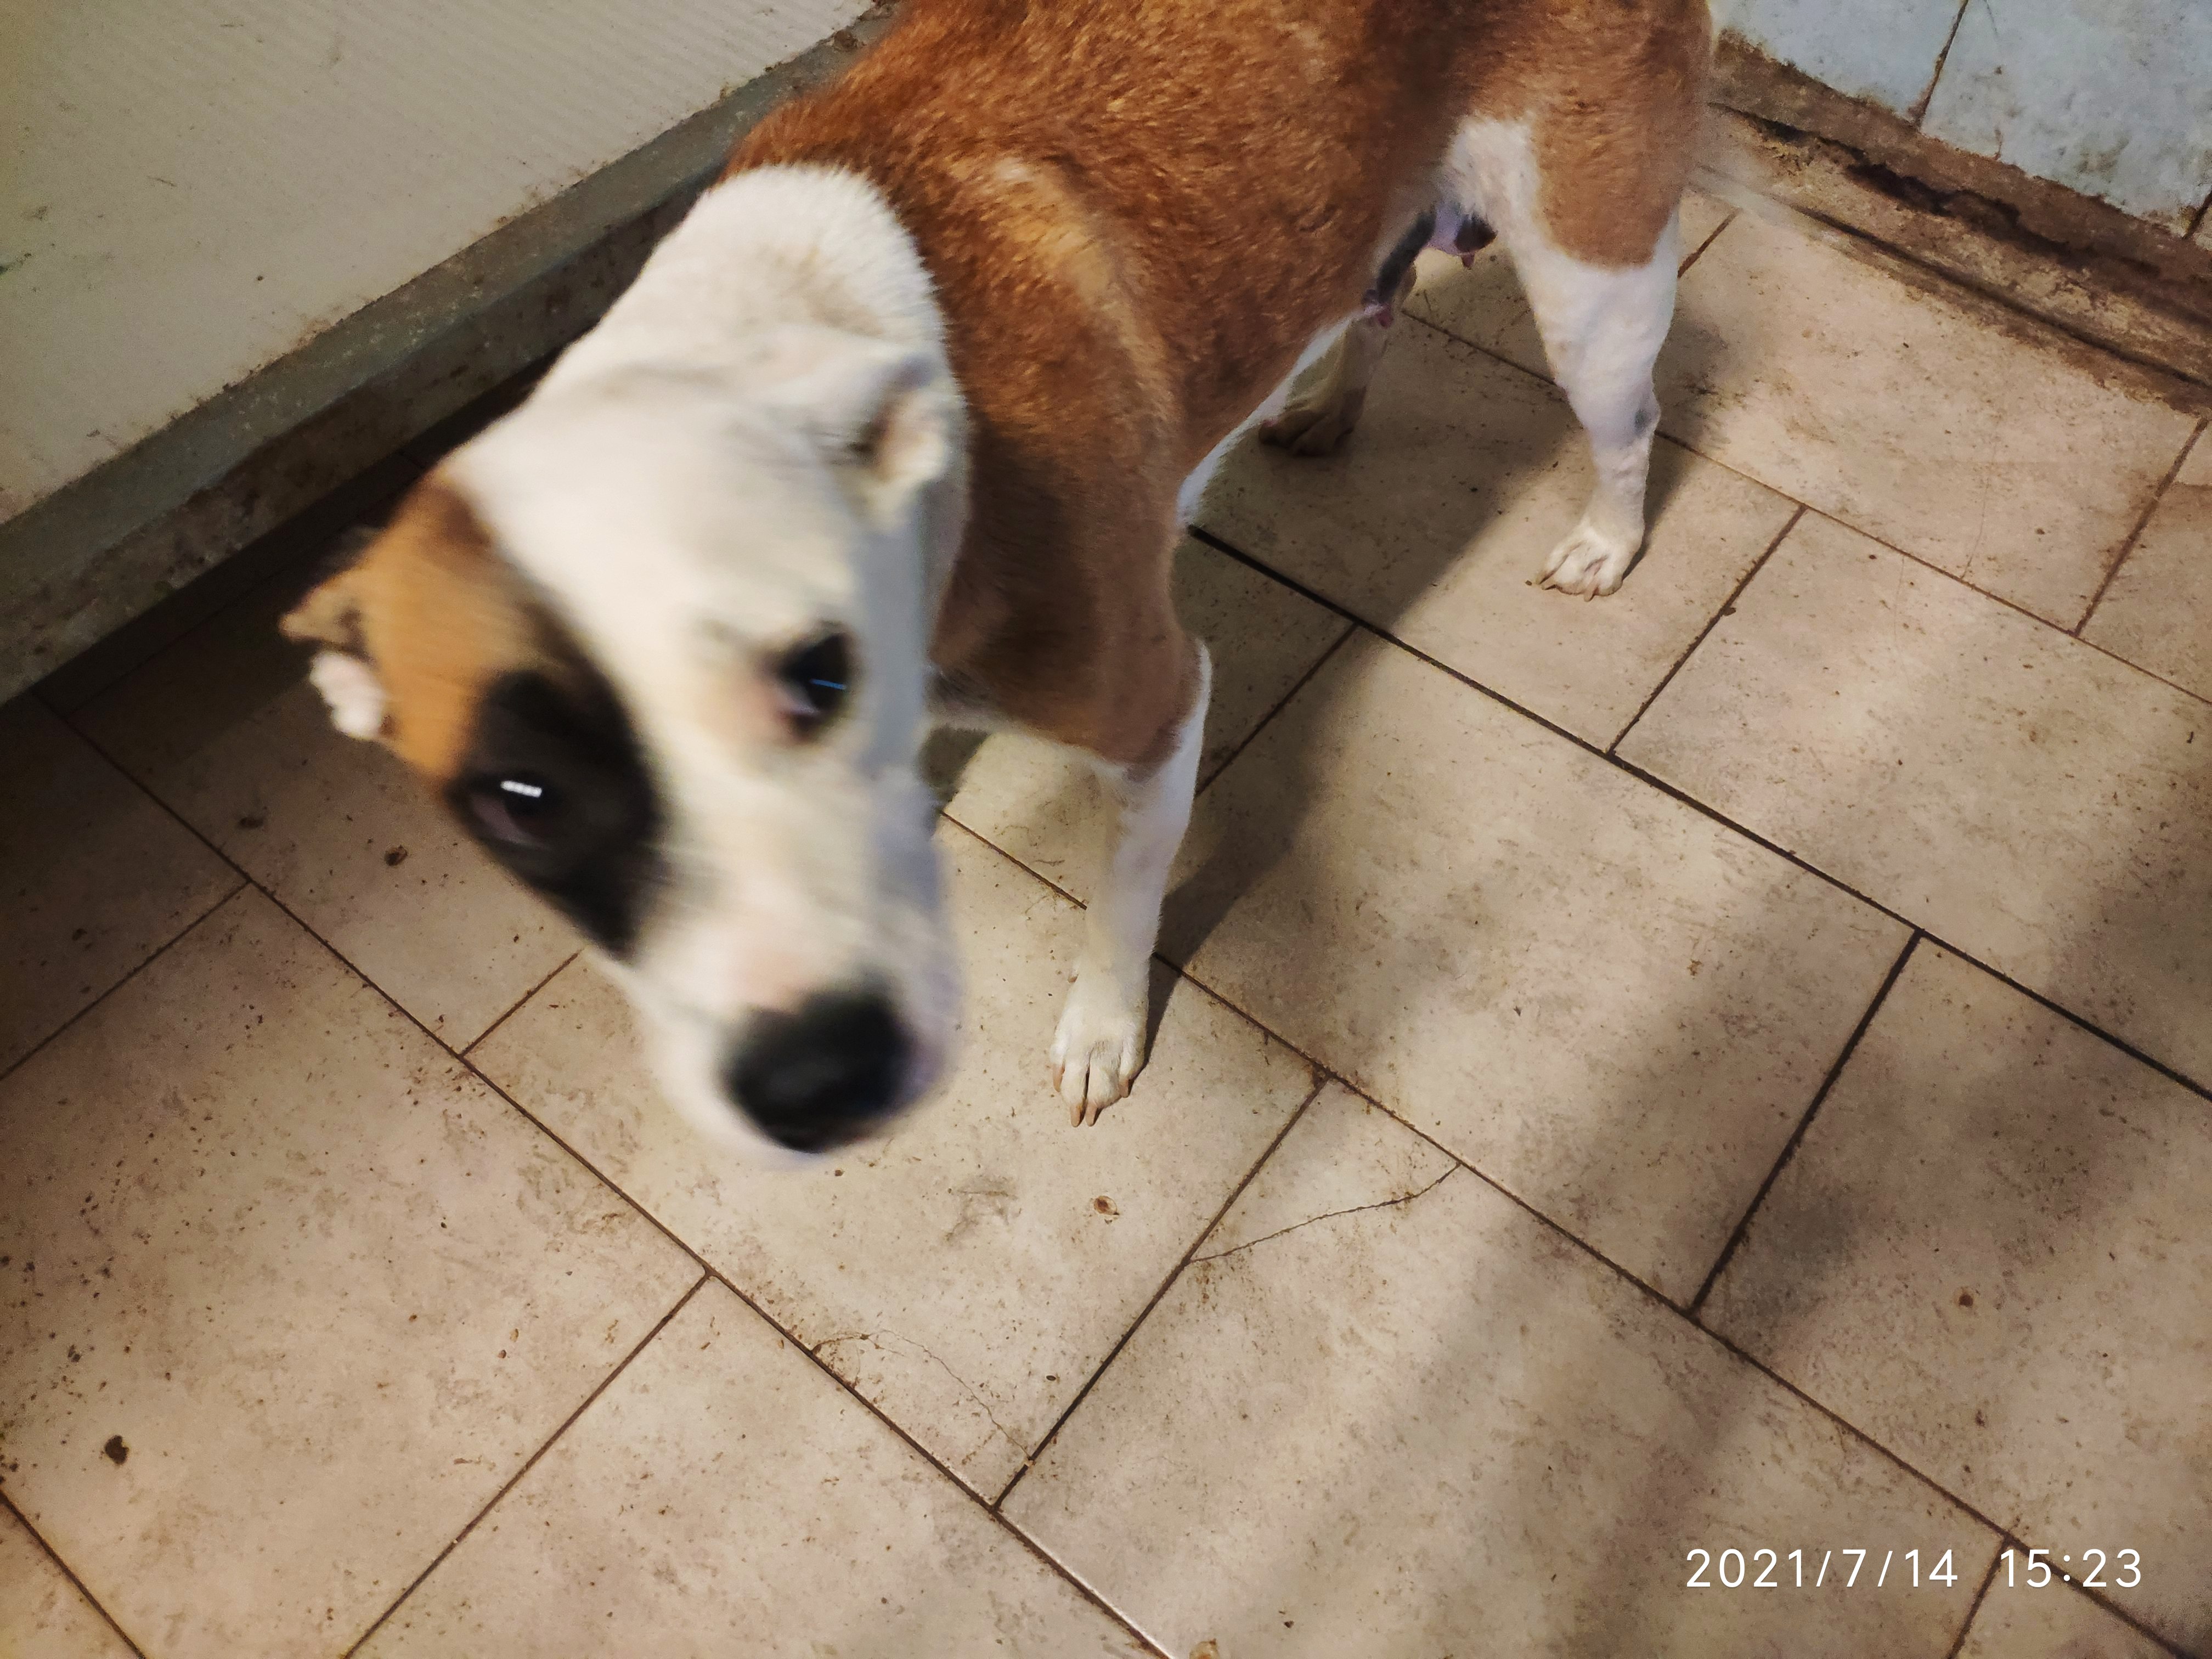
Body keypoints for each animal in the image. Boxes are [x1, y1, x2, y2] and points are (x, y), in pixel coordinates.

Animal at [283, 0, 1712, 1158]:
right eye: (519, 799)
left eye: (823, 674)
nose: (818, 1081)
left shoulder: (1158, 708)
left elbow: (1122, 905)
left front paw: (1101, 1031)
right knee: (1384, 307)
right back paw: (1332, 408)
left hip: (1592, 286)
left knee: (1629, 423)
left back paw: (1608, 537)